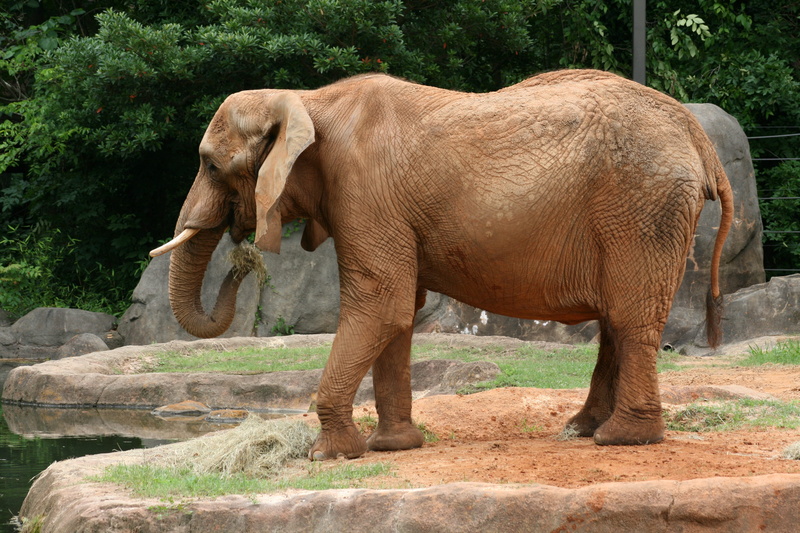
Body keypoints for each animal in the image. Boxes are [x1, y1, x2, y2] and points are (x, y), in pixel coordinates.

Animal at [151, 69, 732, 460]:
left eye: (210, 165)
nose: (241, 256)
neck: (306, 100)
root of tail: (696, 134)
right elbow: (398, 314)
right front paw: (394, 447)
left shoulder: (363, 193)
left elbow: (380, 305)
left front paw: (329, 455)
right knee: (617, 317)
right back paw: (582, 430)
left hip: (643, 205)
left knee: (631, 317)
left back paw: (622, 439)